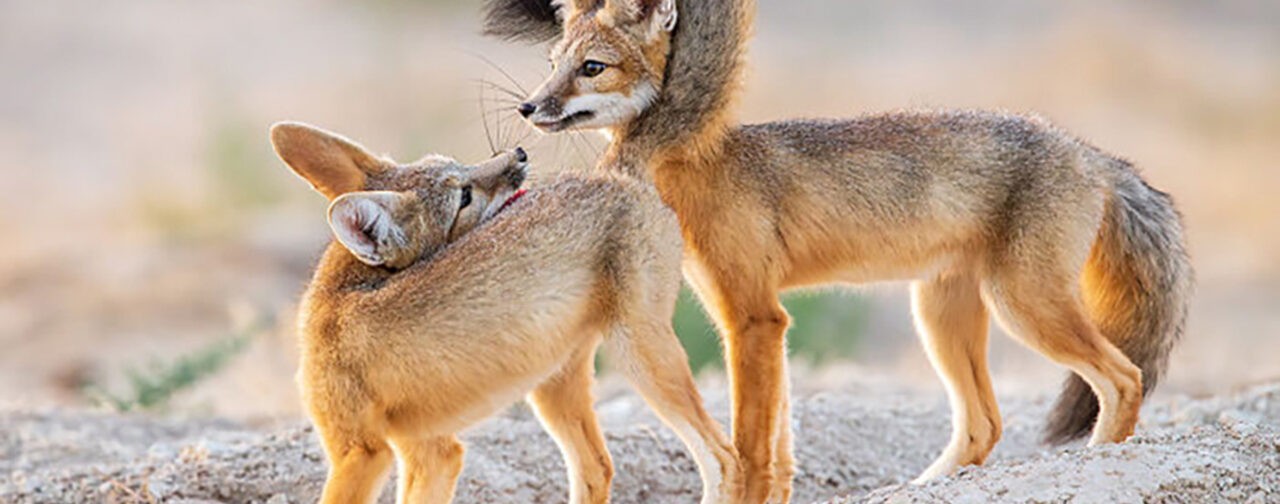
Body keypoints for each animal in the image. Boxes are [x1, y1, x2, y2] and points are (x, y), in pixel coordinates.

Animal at [273, 122, 747, 504]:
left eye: (461, 169)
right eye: (463, 196)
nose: (518, 154)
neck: (337, 293)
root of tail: (610, 172)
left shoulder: (360, 453)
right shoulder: (430, 450)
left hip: (639, 356)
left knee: (726, 458)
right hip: (555, 388)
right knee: (599, 467)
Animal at [483, 0, 1192, 498]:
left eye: (592, 68)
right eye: (552, 63)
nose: (528, 107)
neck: (694, 159)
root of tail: (1089, 152)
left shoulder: (753, 317)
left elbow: (749, 449)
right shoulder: (765, 319)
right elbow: (780, 453)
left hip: (1025, 307)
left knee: (1123, 378)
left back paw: (1101, 461)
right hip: (940, 316)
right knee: (985, 424)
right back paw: (921, 487)